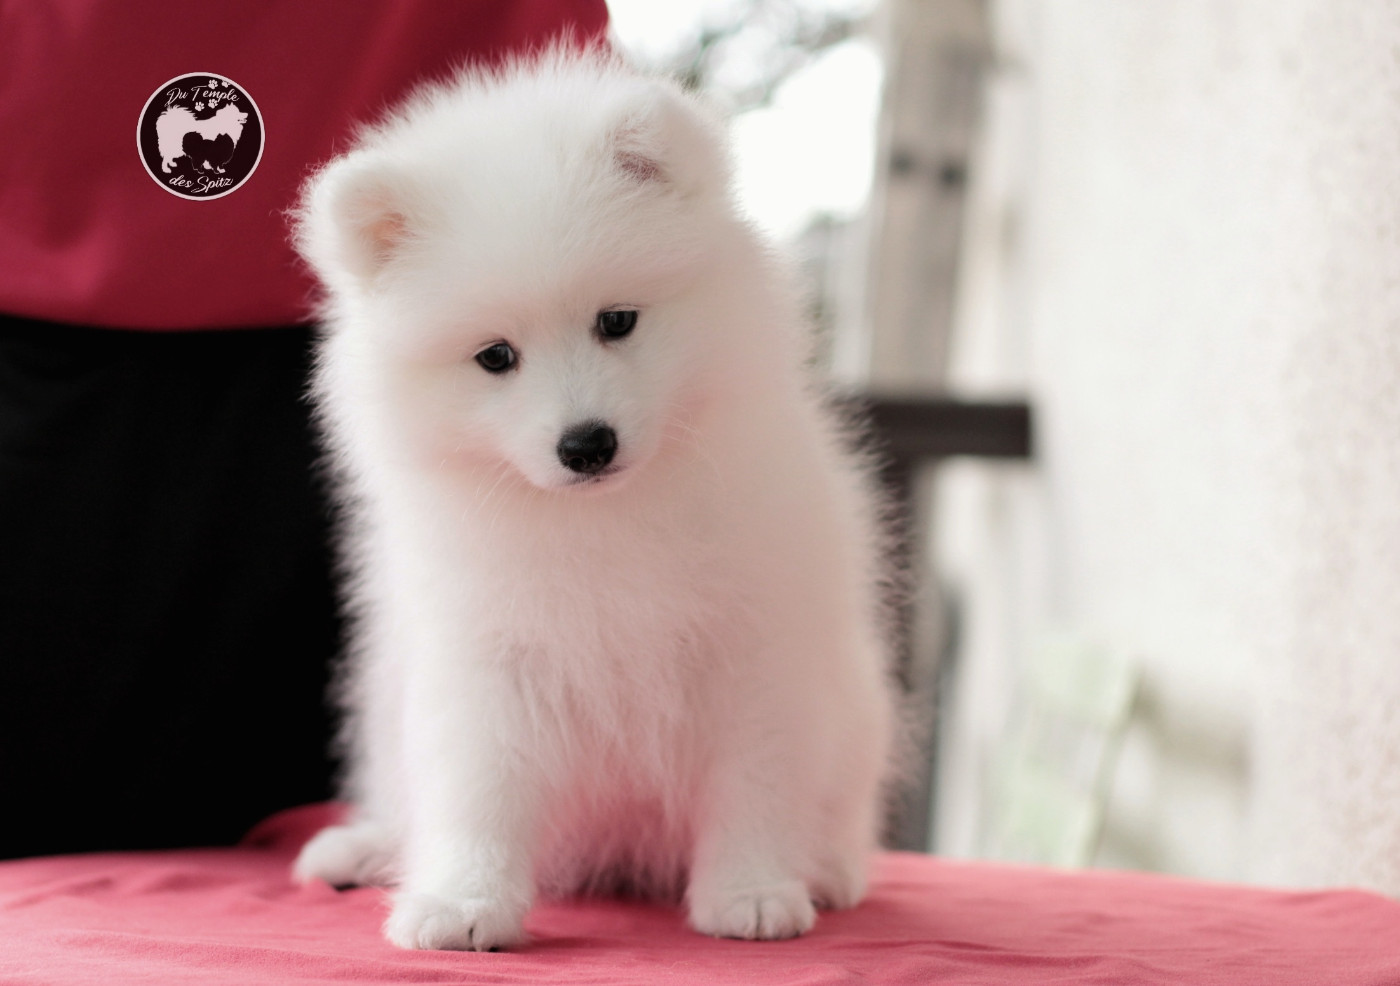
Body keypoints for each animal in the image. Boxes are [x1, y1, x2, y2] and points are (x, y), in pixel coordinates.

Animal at [290, 48, 898, 951]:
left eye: (617, 320)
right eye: (496, 356)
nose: (586, 443)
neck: (605, 516)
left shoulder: (753, 647)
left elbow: (754, 778)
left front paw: (751, 891)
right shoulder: (489, 654)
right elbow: (481, 786)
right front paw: (463, 901)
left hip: (856, 713)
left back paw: (824, 869)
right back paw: (365, 850)